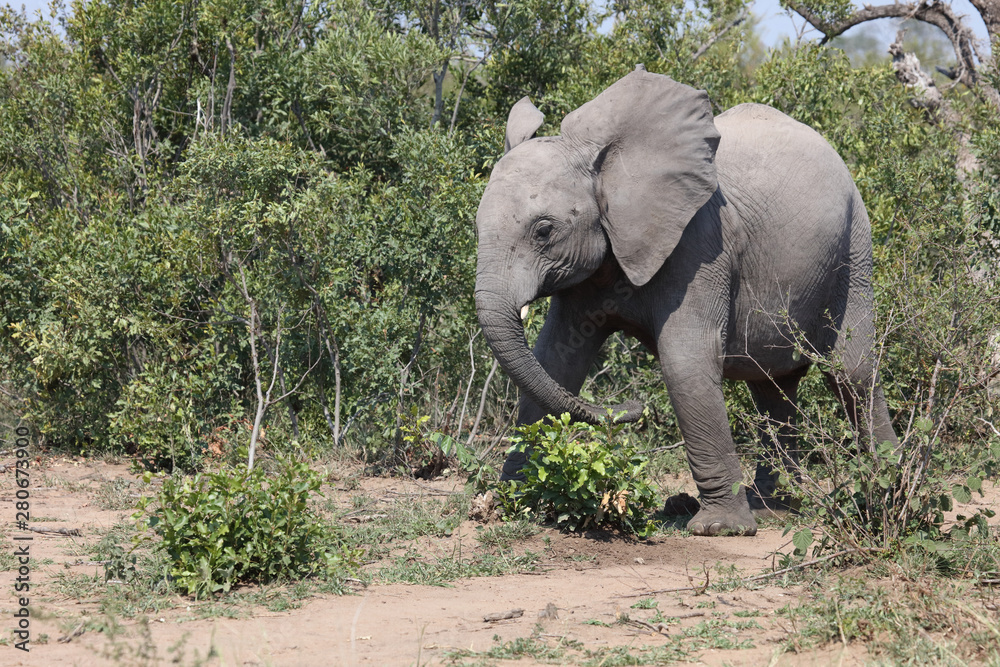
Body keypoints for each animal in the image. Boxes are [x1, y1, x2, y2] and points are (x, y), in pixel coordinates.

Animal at [473, 66, 900, 536]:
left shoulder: (701, 244)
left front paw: (721, 529)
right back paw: (774, 508)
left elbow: (685, 361)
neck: (606, 165)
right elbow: (555, 360)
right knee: (773, 386)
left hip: (854, 247)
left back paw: (890, 493)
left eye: (544, 230)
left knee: (851, 372)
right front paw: (513, 501)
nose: (632, 408)